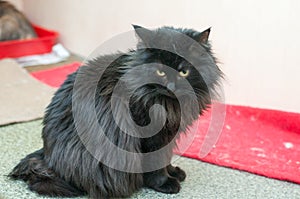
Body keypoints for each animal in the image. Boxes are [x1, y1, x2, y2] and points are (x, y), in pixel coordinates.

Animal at [9, 24, 223, 197]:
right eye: (160, 71)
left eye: (183, 72)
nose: (171, 86)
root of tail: (46, 155)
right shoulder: (151, 137)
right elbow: (156, 164)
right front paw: (165, 183)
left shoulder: (167, 136)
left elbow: (166, 159)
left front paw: (174, 172)